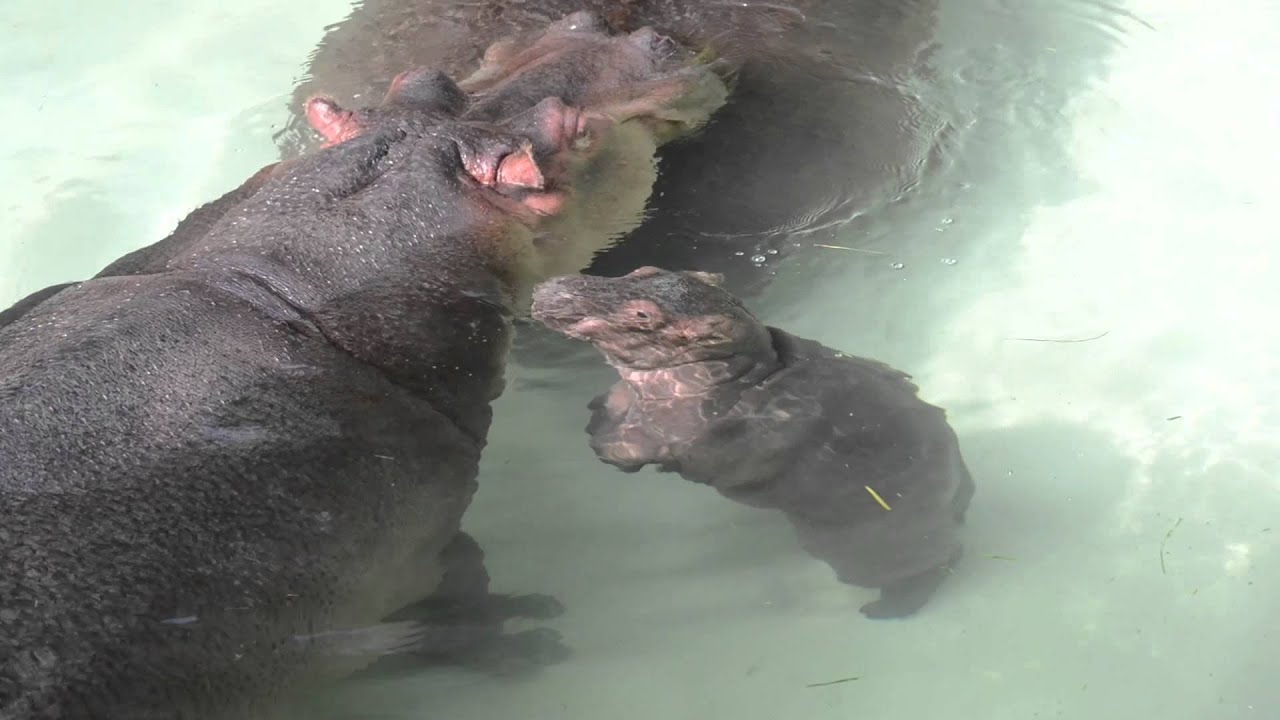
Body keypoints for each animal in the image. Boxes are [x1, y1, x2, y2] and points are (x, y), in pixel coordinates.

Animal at [0, 15, 724, 719]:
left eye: (424, 79)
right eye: (574, 132)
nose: (595, 25)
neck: (279, 275)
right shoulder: (420, 548)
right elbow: (462, 604)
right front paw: (529, 642)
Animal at [530, 266, 976, 619]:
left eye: (643, 316)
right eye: (642, 269)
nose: (554, 287)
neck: (746, 367)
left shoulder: (676, 431)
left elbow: (632, 445)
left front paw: (606, 445)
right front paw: (598, 412)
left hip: (865, 555)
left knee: (930, 568)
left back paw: (884, 609)